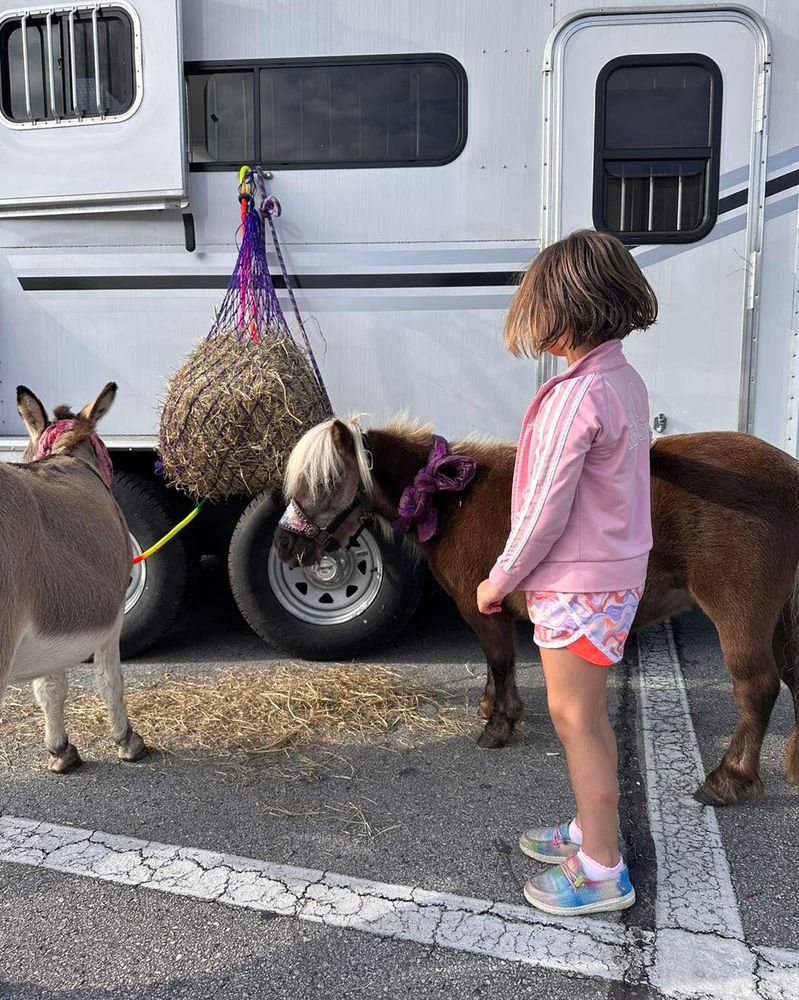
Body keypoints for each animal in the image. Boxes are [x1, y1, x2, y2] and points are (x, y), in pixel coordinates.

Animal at [276, 416, 799, 804]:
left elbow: (500, 661)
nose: (284, 546)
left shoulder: (483, 607)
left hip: (740, 611)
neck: (448, 497)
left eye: (324, 482)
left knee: (758, 686)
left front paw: (500, 723)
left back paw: (729, 778)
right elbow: (497, 665)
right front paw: (492, 705)